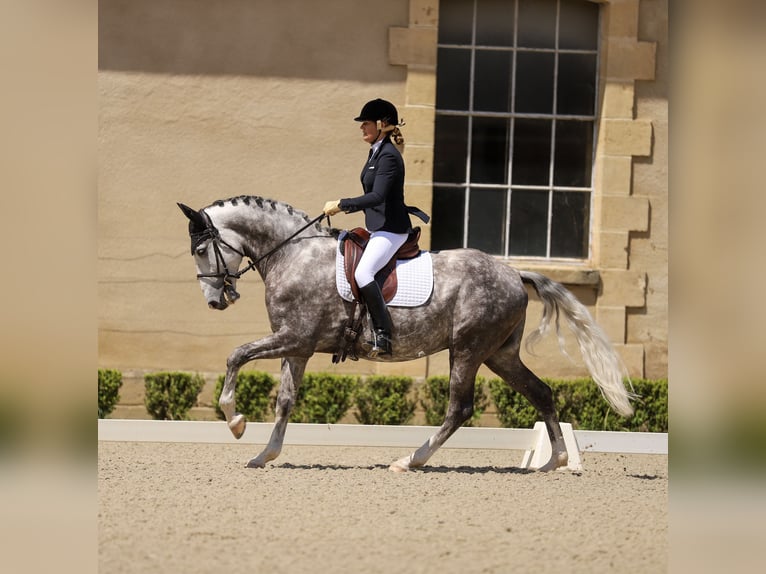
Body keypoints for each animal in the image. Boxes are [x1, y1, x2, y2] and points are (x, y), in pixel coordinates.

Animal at [178, 196, 636, 474]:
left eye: (201, 251)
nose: (215, 301)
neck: (292, 254)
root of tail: (513, 272)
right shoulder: (299, 347)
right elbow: (285, 401)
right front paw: (264, 454)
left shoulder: (295, 339)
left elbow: (236, 355)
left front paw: (236, 421)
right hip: (498, 355)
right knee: (541, 392)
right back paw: (554, 460)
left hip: (467, 350)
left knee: (459, 409)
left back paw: (410, 460)